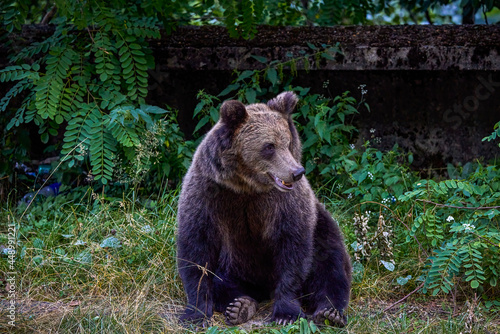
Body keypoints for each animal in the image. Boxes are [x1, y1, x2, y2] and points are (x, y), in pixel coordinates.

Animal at [176, 90, 352, 326]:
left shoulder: (283, 204)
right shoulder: (209, 193)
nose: (297, 172)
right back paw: (240, 305)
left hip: (322, 224)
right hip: (233, 265)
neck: (247, 186)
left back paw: (329, 312)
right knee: (222, 281)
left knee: (330, 263)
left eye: (287, 142)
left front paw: (285, 313)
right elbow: (197, 250)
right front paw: (196, 313)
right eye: (269, 146)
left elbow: (293, 248)